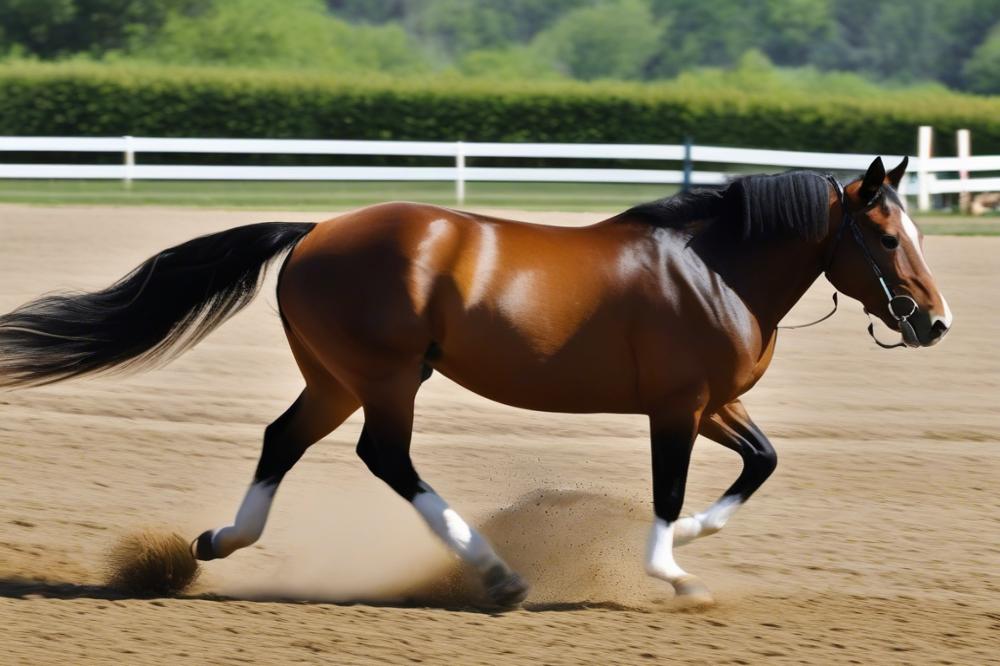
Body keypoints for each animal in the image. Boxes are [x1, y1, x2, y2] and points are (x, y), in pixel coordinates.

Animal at [0, 158, 952, 604]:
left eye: (915, 232)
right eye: (887, 237)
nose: (935, 323)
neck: (710, 269)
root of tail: (317, 229)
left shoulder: (718, 403)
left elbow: (761, 463)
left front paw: (694, 545)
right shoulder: (676, 407)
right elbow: (670, 489)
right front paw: (671, 569)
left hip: (336, 377)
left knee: (284, 439)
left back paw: (215, 544)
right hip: (387, 377)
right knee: (387, 458)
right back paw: (495, 574)